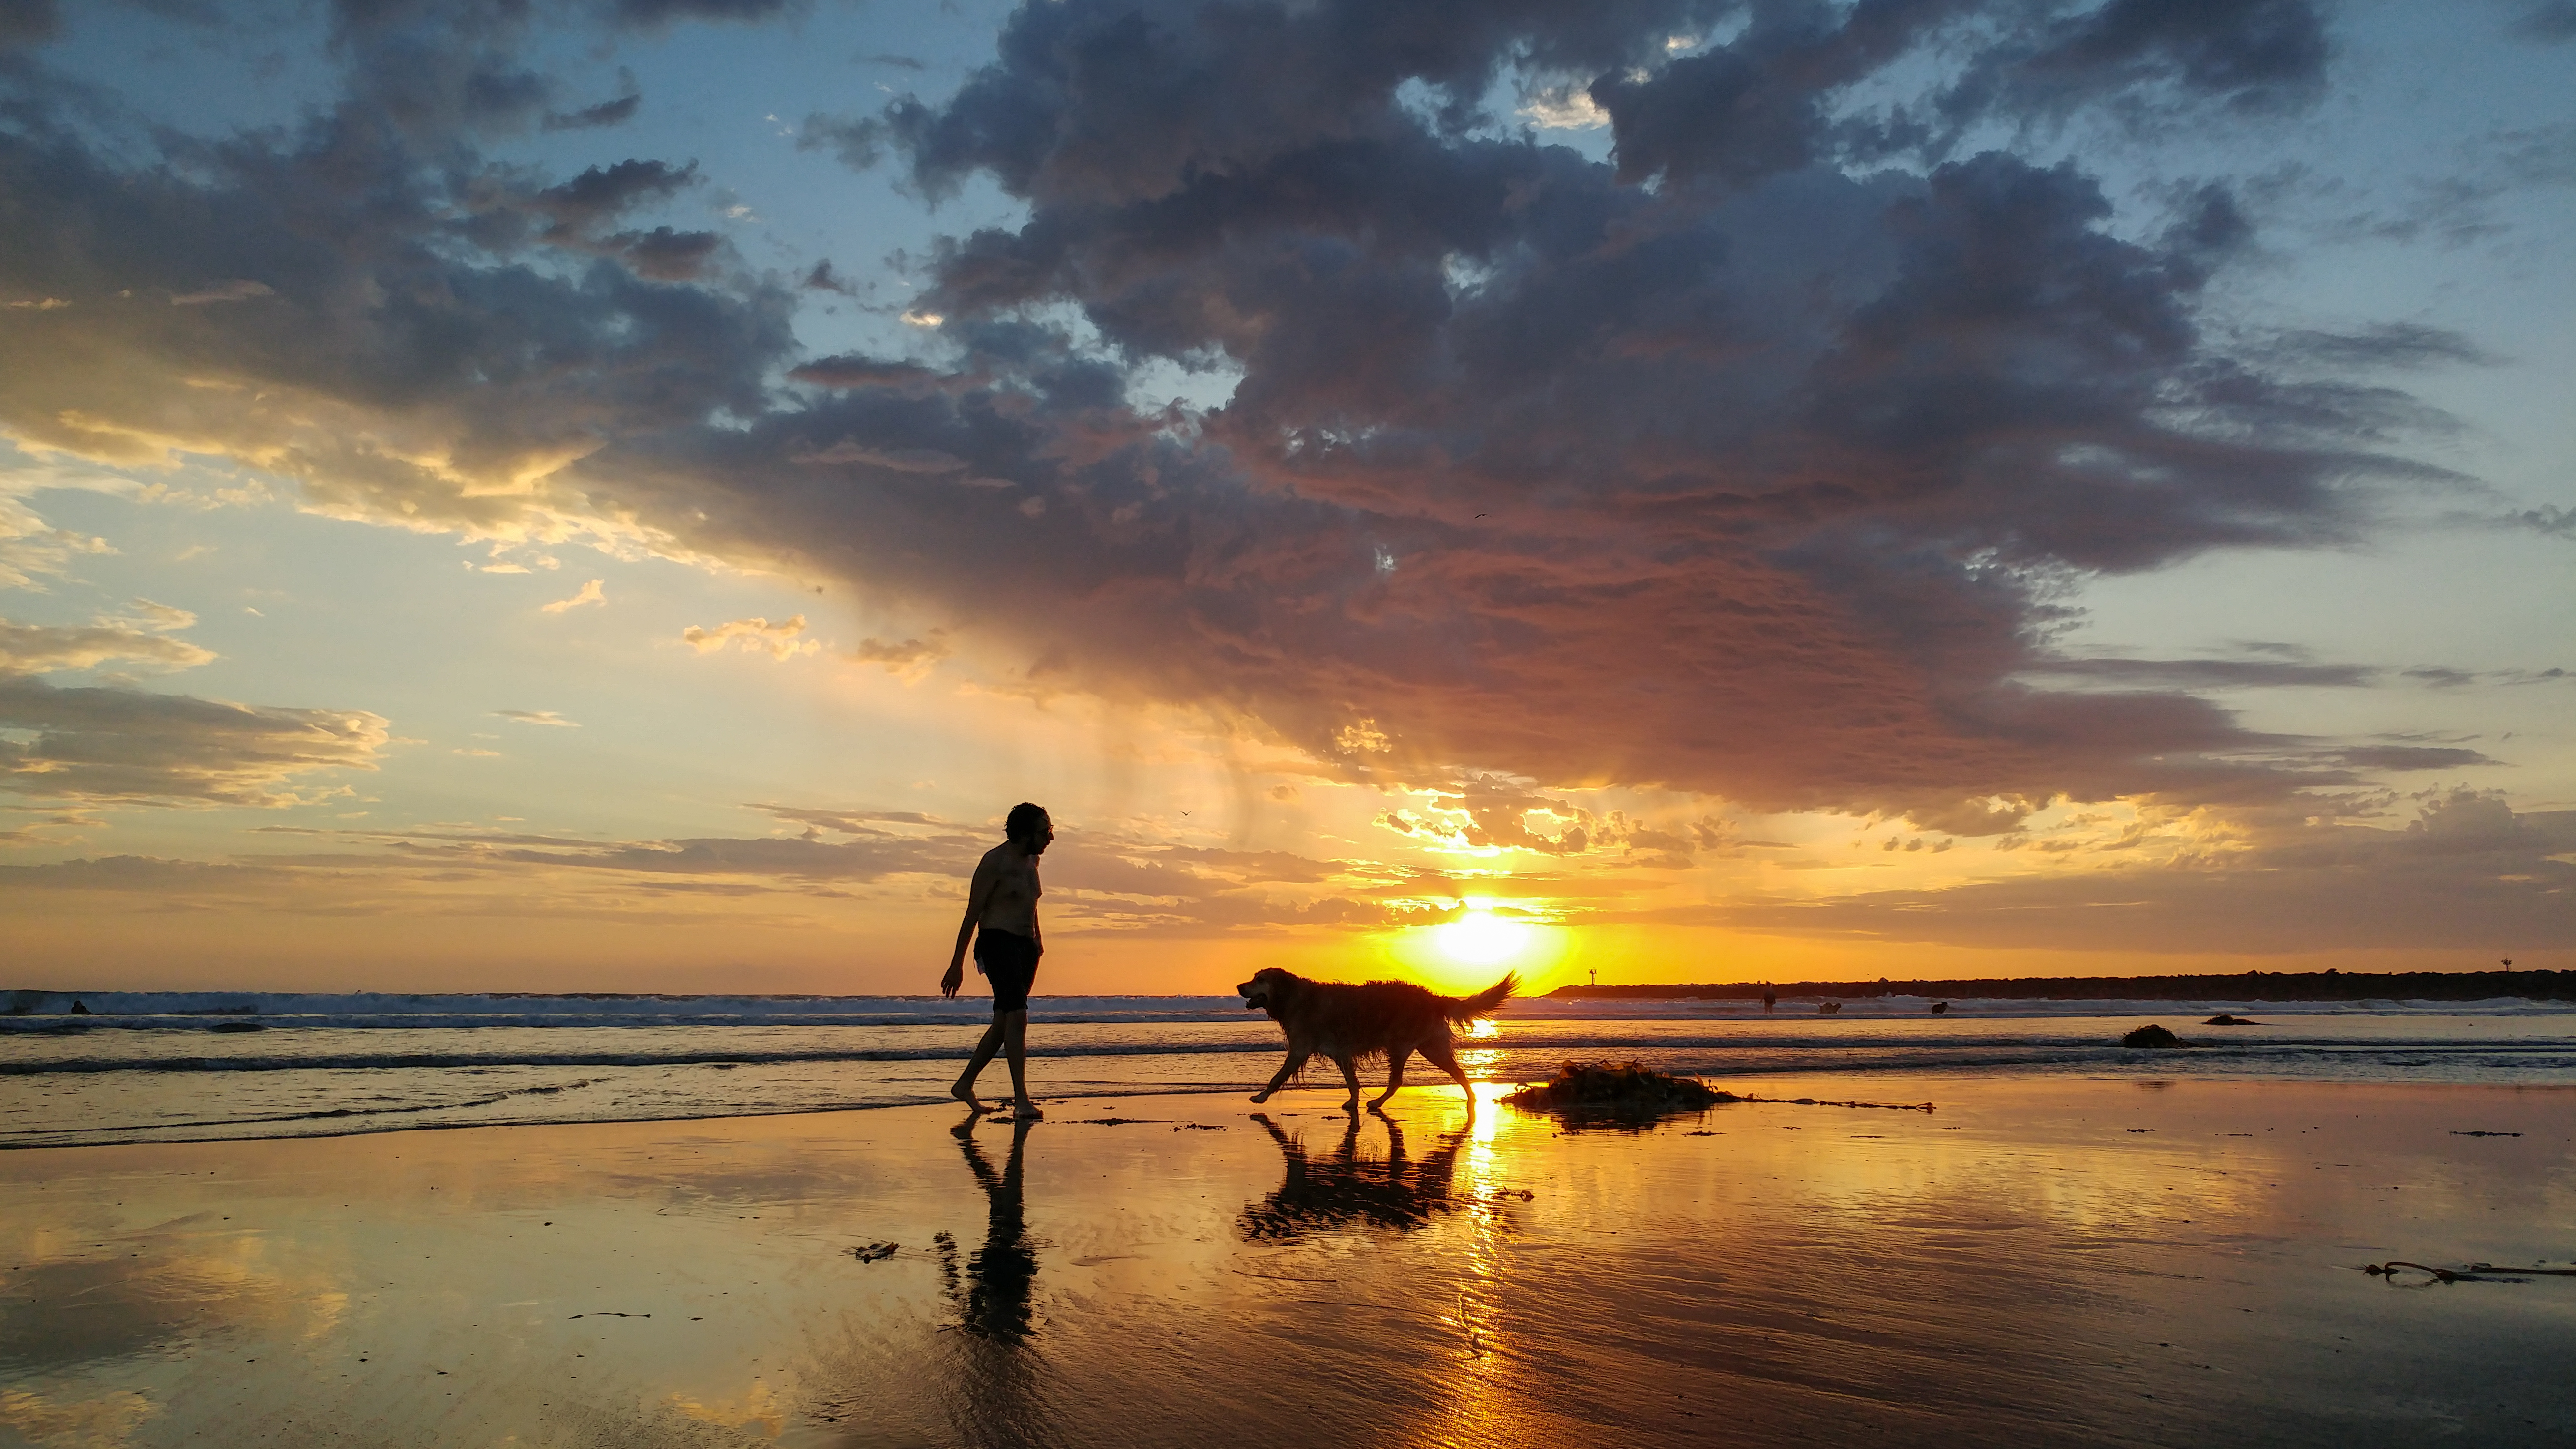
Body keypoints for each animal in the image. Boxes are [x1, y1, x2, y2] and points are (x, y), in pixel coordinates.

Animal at [1236, 967, 1515, 1117]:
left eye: (1261, 979)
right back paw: (1472, 1098)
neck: (1293, 997)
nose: (1239, 986)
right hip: (1431, 1047)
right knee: (1458, 1072)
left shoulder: (1300, 1049)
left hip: (1400, 1045)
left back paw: (1379, 1102)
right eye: (1254, 977)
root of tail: (1432, 997)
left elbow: (1277, 1078)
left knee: (1397, 1081)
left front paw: (1260, 1097)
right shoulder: (1341, 1052)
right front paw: (1352, 1102)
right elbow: (1352, 1081)